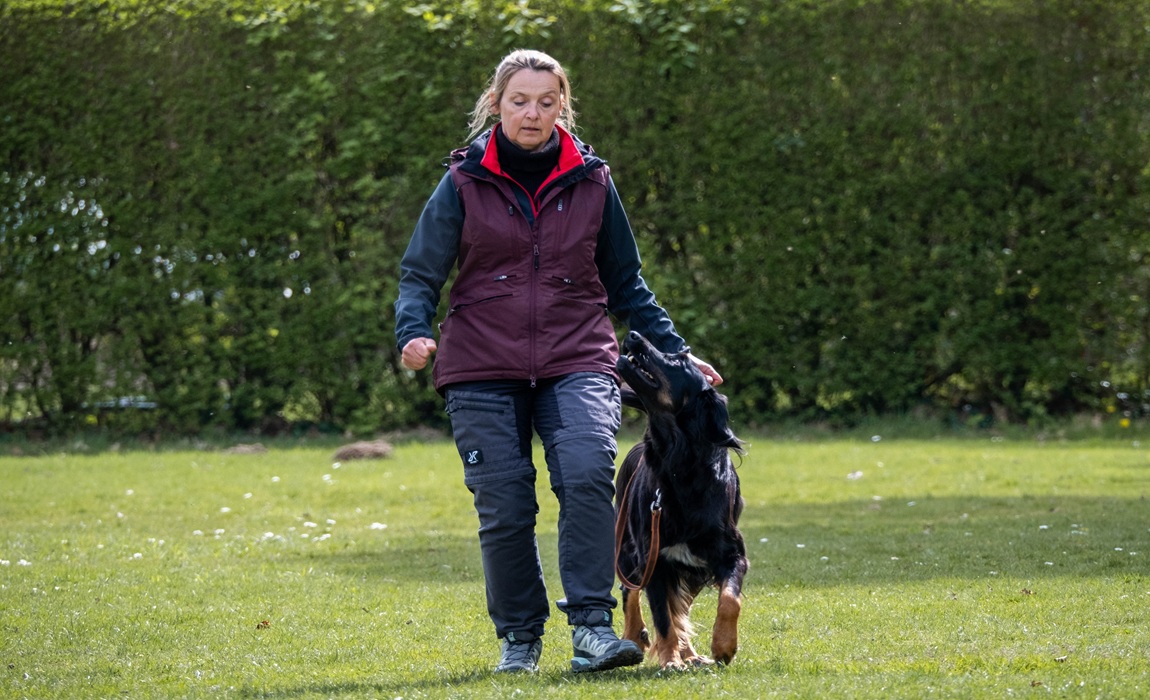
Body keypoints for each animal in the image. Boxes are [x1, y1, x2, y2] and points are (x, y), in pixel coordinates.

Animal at [614, 330, 749, 670]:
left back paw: (690, 653)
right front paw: (671, 658)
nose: (633, 335)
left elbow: (729, 599)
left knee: (681, 607)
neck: (678, 465)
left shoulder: (731, 555)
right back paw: (635, 635)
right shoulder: (655, 558)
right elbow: (663, 616)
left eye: (678, 360)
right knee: (631, 593)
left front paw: (724, 645)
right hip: (628, 548)